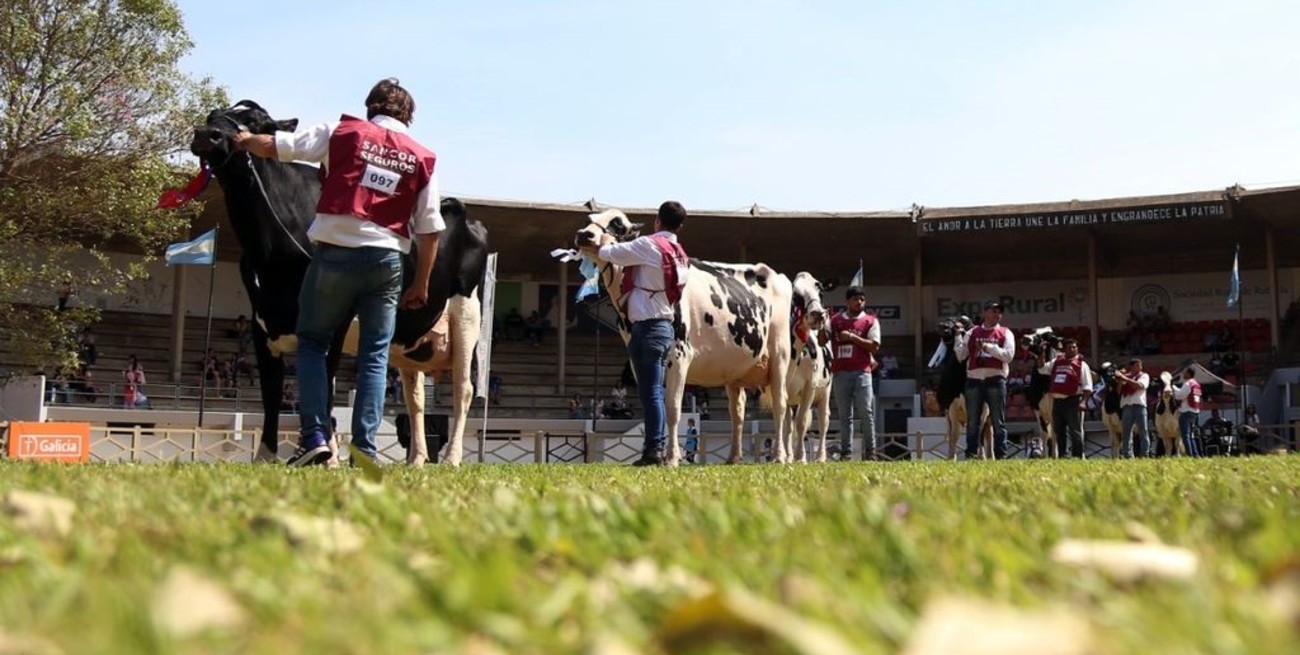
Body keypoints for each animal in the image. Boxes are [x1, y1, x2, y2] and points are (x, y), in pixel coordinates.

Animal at [577, 209, 795, 465]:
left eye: (617, 224)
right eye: (591, 220)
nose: (584, 235)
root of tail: (774, 273)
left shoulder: (679, 355)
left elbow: (672, 409)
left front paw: (671, 458)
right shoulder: (639, 361)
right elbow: (654, 406)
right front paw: (655, 455)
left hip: (780, 355)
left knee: (781, 405)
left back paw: (780, 456)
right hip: (735, 370)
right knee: (738, 411)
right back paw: (733, 457)